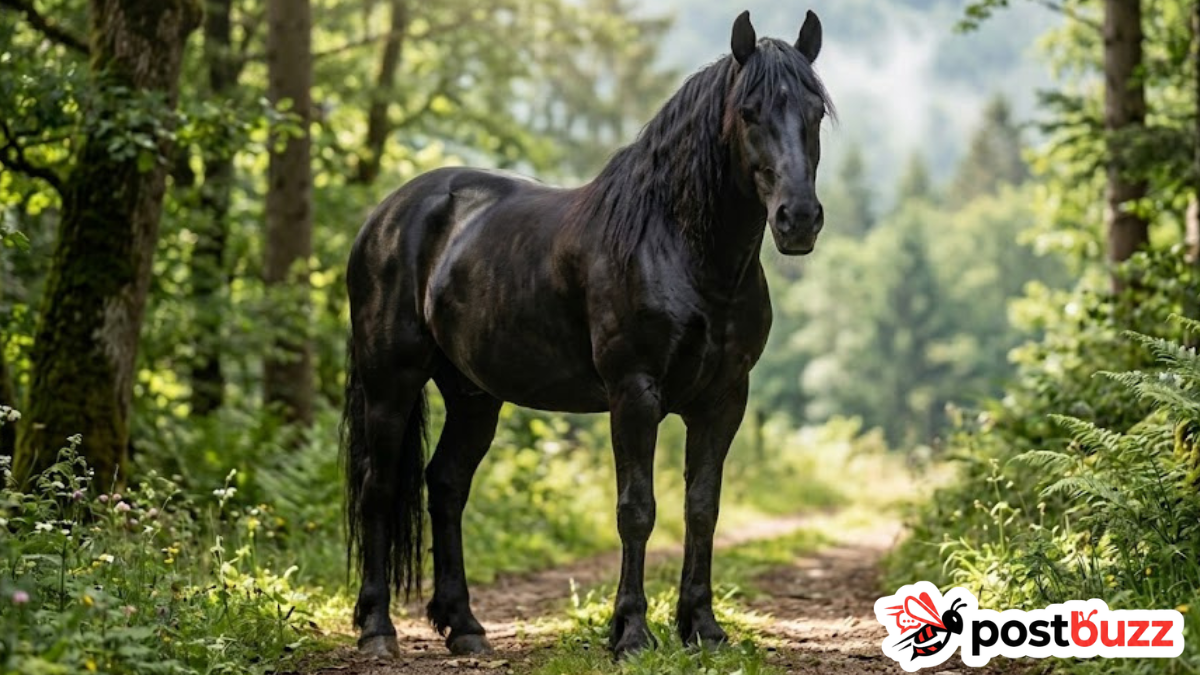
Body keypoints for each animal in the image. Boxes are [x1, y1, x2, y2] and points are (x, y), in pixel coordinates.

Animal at [341, 9, 834, 659]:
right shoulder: (634, 394)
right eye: (749, 111)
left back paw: (466, 627)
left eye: (815, 111)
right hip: (390, 382)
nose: (798, 219)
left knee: (445, 486)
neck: (679, 248)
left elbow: (702, 508)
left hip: (473, 395)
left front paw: (702, 628)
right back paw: (377, 630)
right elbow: (637, 509)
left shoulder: (724, 399)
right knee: (378, 487)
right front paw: (630, 633)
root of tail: (385, 215)